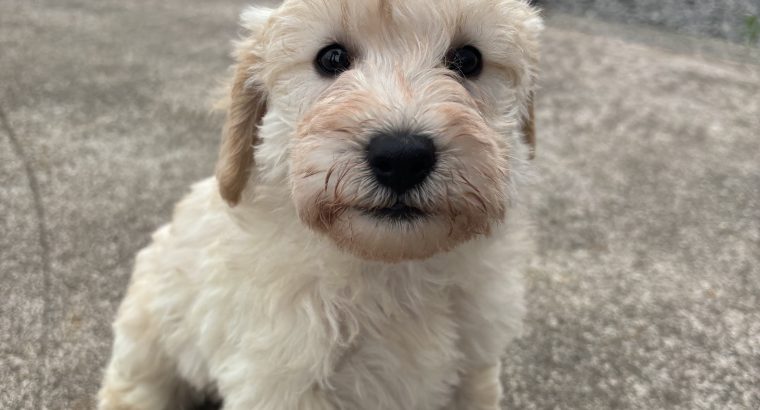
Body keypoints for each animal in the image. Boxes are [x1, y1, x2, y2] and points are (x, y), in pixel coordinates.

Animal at [99, 1, 540, 408]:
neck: (390, 270)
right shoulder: (280, 380)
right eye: (331, 59)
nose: (402, 157)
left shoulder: (473, 367)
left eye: (468, 60)